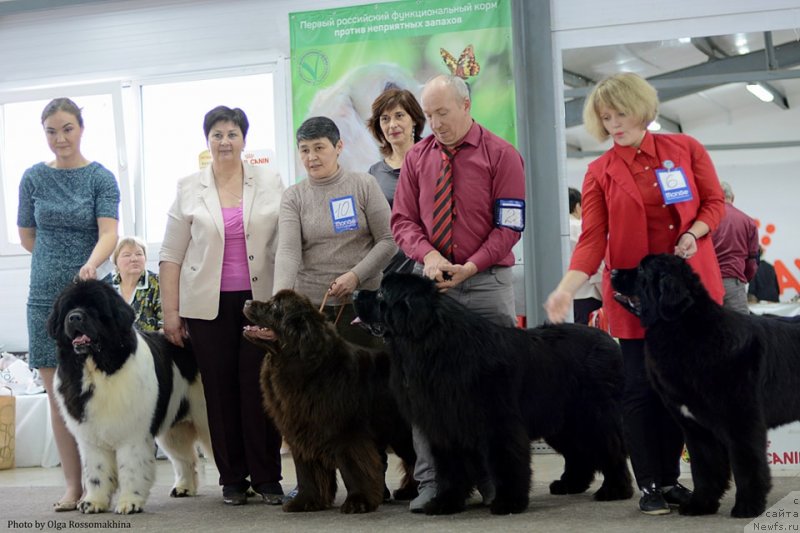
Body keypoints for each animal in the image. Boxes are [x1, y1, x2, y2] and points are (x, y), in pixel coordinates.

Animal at [45, 278, 211, 512]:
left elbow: (131, 469)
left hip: (205, 417)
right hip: (173, 429)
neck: (98, 368)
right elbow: (96, 471)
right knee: (185, 457)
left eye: (94, 308)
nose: (75, 317)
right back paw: (184, 487)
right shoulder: (90, 436)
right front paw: (93, 502)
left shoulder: (133, 434)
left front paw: (129, 503)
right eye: (68, 308)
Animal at [242, 288, 418, 512]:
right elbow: (307, 473)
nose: (247, 301)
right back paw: (409, 491)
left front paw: (358, 502)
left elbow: (354, 469)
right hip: (399, 434)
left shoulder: (348, 433)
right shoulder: (301, 430)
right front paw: (305, 501)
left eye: (274, 306)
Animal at [354, 272, 636, 512]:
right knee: (578, 452)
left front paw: (508, 502)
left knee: (610, 449)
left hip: (594, 416)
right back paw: (570, 484)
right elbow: (449, 468)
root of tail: (609, 339)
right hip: (563, 422)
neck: (432, 344)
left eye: (381, 293)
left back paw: (615, 489)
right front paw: (445, 502)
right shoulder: (444, 424)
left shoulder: (498, 424)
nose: (356, 292)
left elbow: (505, 462)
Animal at [612, 252, 800, 516]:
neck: (687, 329)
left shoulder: (742, 421)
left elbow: (747, 465)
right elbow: (705, 469)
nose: (611, 271)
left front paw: (747, 506)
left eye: (641, 270)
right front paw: (700, 504)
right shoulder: (696, 427)